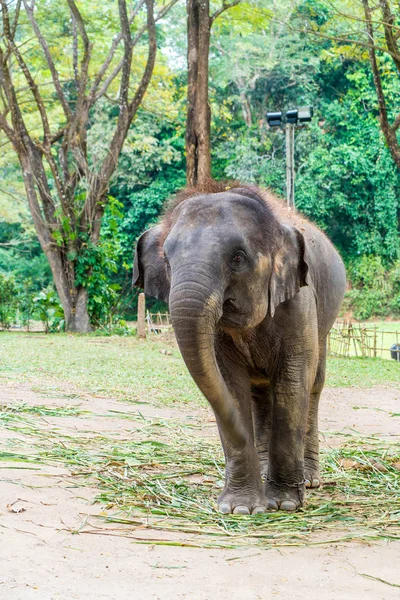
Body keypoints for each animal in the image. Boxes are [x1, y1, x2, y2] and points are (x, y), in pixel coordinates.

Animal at [133, 180, 346, 512]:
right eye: (167, 261)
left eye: (237, 259)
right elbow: (230, 385)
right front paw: (241, 507)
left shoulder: (300, 303)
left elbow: (293, 383)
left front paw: (283, 504)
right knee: (260, 392)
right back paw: (265, 469)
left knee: (314, 384)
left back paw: (310, 480)